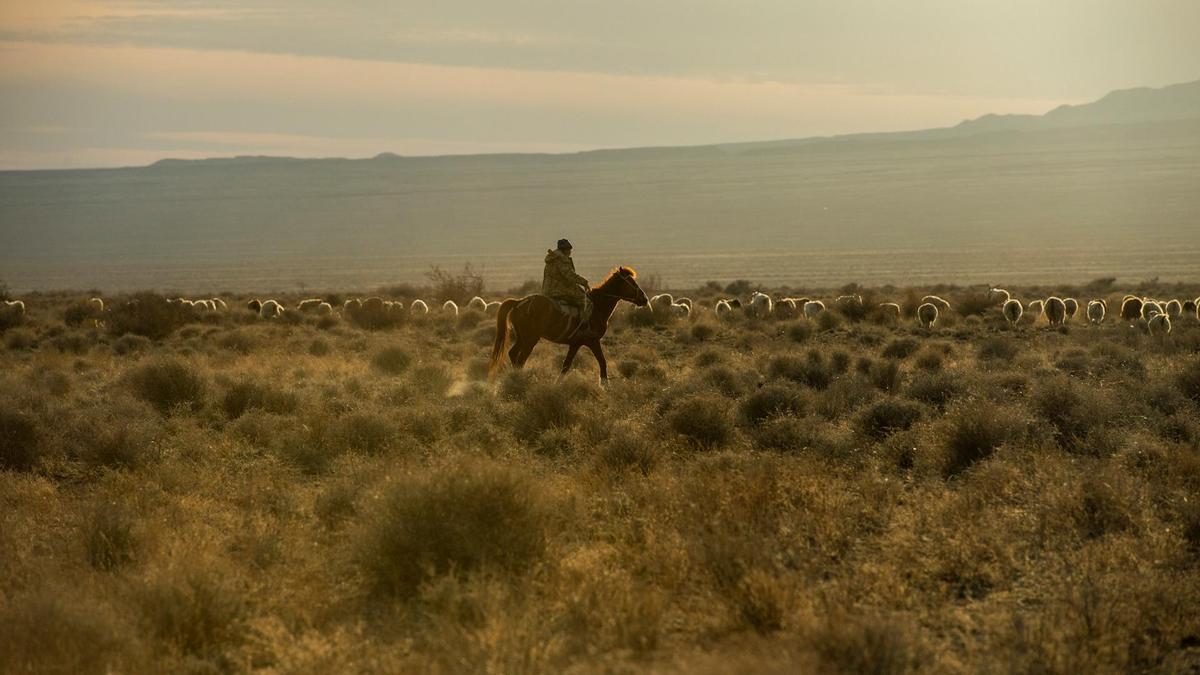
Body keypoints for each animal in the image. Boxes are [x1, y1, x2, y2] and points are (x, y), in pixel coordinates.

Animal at [489, 265, 652, 379]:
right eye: (631, 282)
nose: (644, 299)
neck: (597, 307)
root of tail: (519, 302)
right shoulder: (593, 341)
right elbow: (602, 362)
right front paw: (605, 386)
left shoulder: (575, 344)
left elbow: (566, 366)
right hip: (530, 339)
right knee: (520, 359)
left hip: (522, 338)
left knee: (513, 354)